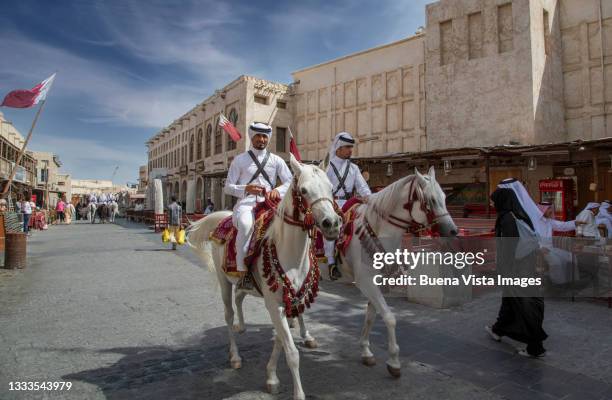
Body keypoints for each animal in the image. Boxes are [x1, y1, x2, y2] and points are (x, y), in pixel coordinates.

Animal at [188, 155, 340, 398]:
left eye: (331, 187)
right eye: (304, 190)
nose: (332, 223)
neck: (290, 253)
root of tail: (225, 216)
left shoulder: (288, 302)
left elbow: (280, 340)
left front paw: (271, 376)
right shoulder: (274, 304)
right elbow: (291, 352)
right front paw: (297, 392)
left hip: (246, 285)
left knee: (239, 298)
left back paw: (242, 326)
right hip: (224, 281)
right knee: (228, 314)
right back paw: (235, 355)